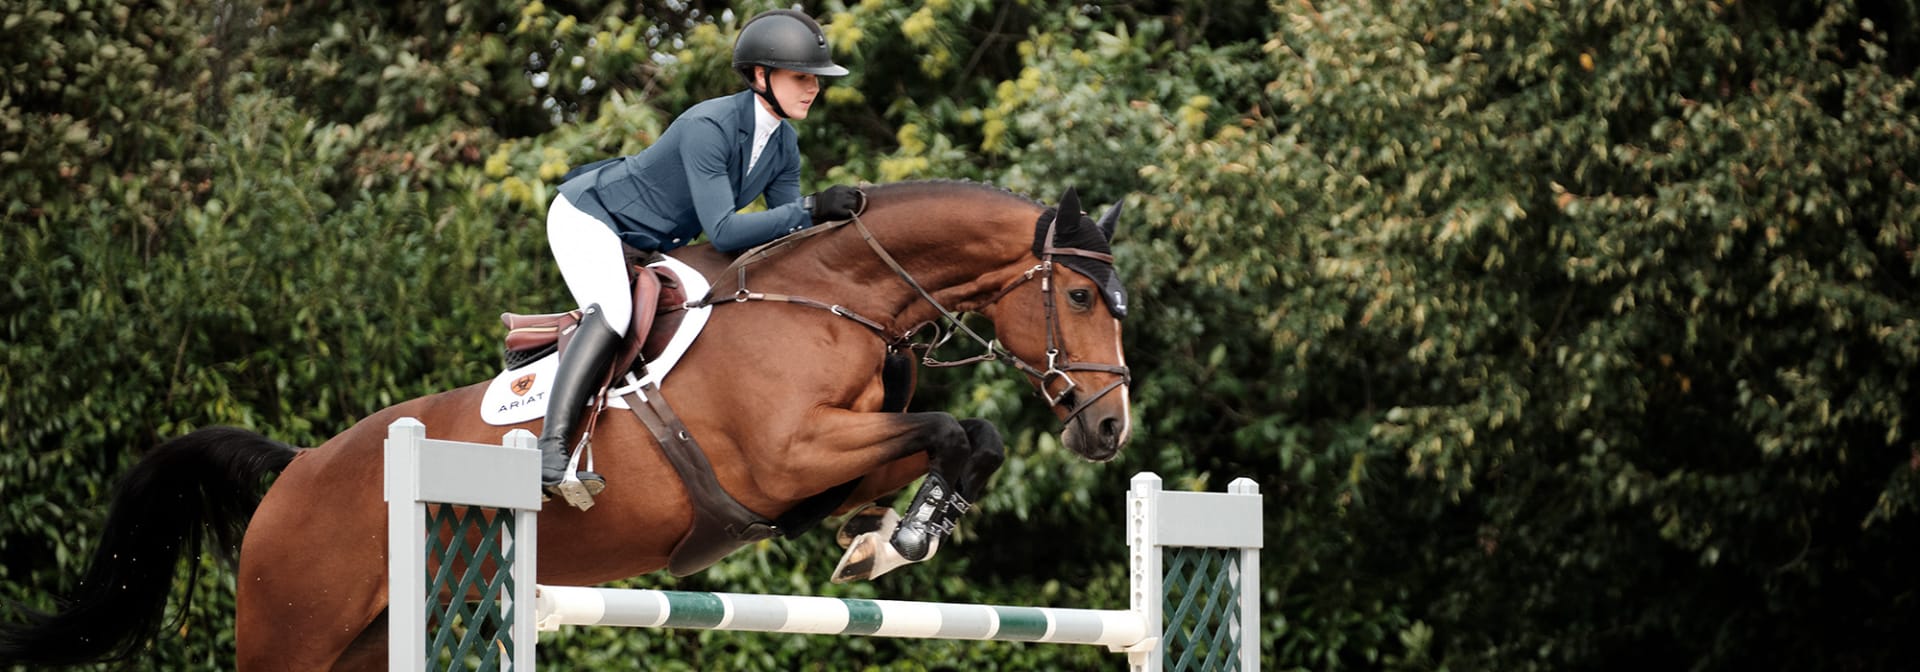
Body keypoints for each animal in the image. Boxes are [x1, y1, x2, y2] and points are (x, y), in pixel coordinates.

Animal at [0, 181, 1133, 670]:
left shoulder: (821, 470)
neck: (832, 300)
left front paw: (888, 543)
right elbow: (957, 428)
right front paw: (896, 540)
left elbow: (962, 442)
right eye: (1081, 299)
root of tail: (298, 469)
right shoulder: (785, 457)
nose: (1111, 428)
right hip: (292, 631)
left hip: (371, 638)